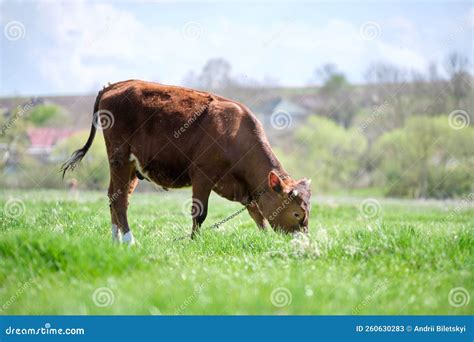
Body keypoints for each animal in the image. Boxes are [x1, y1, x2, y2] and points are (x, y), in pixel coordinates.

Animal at [60, 81, 312, 243]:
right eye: (297, 214)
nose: (304, 243)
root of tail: (114, 86)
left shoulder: (247, 188)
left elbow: (257, 214)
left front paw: (267, 239)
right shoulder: (202, 175)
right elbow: (199, 213)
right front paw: (194, 242)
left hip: (130, 166)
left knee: (115, 197)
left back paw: (116, 241)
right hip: (119, 158)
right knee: (120, 201)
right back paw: (130, 241)